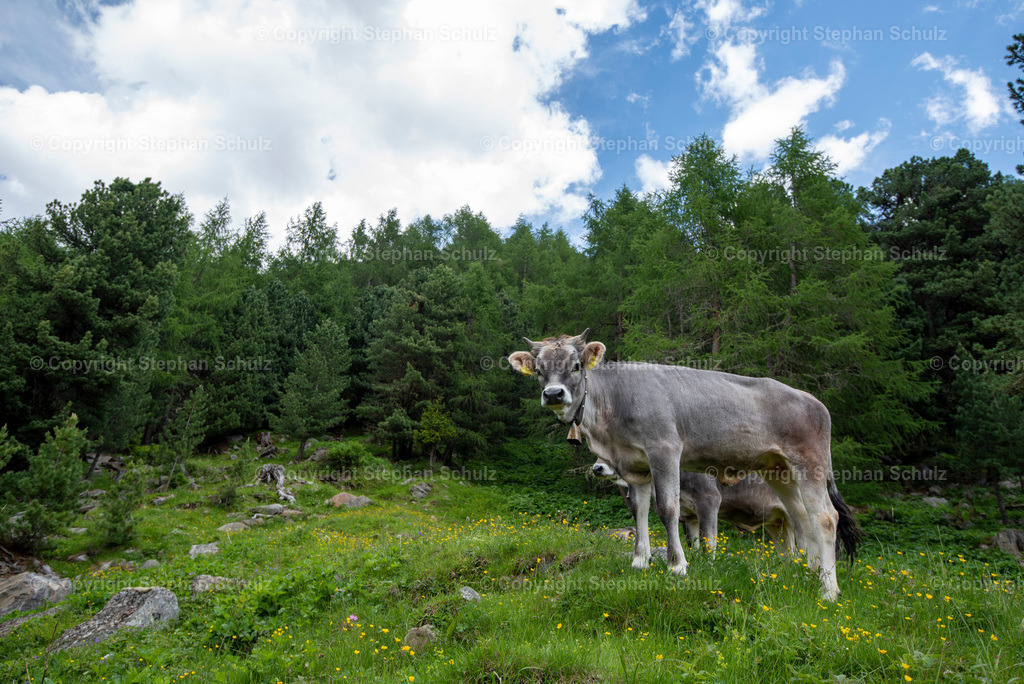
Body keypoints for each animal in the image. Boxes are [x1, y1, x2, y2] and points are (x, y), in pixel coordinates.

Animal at [594, 461, 795, 555]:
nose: (597, 467)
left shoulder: (709, 501)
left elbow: (708, 542)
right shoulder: (688, 516)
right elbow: (693, 543)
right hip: (778, 524)